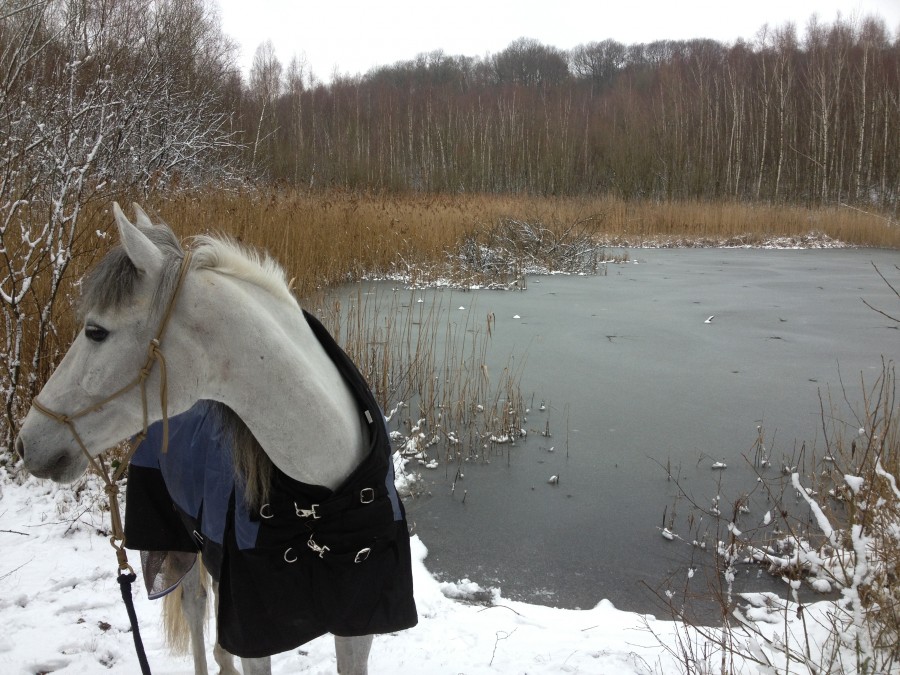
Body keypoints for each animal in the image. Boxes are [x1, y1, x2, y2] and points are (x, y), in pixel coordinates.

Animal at [16, 203, 418, 672]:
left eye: (96, 331)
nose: (27, 442)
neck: (320, 501)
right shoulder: (255, 629)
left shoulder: (358, 623)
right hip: (180, 549)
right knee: (196, 612)